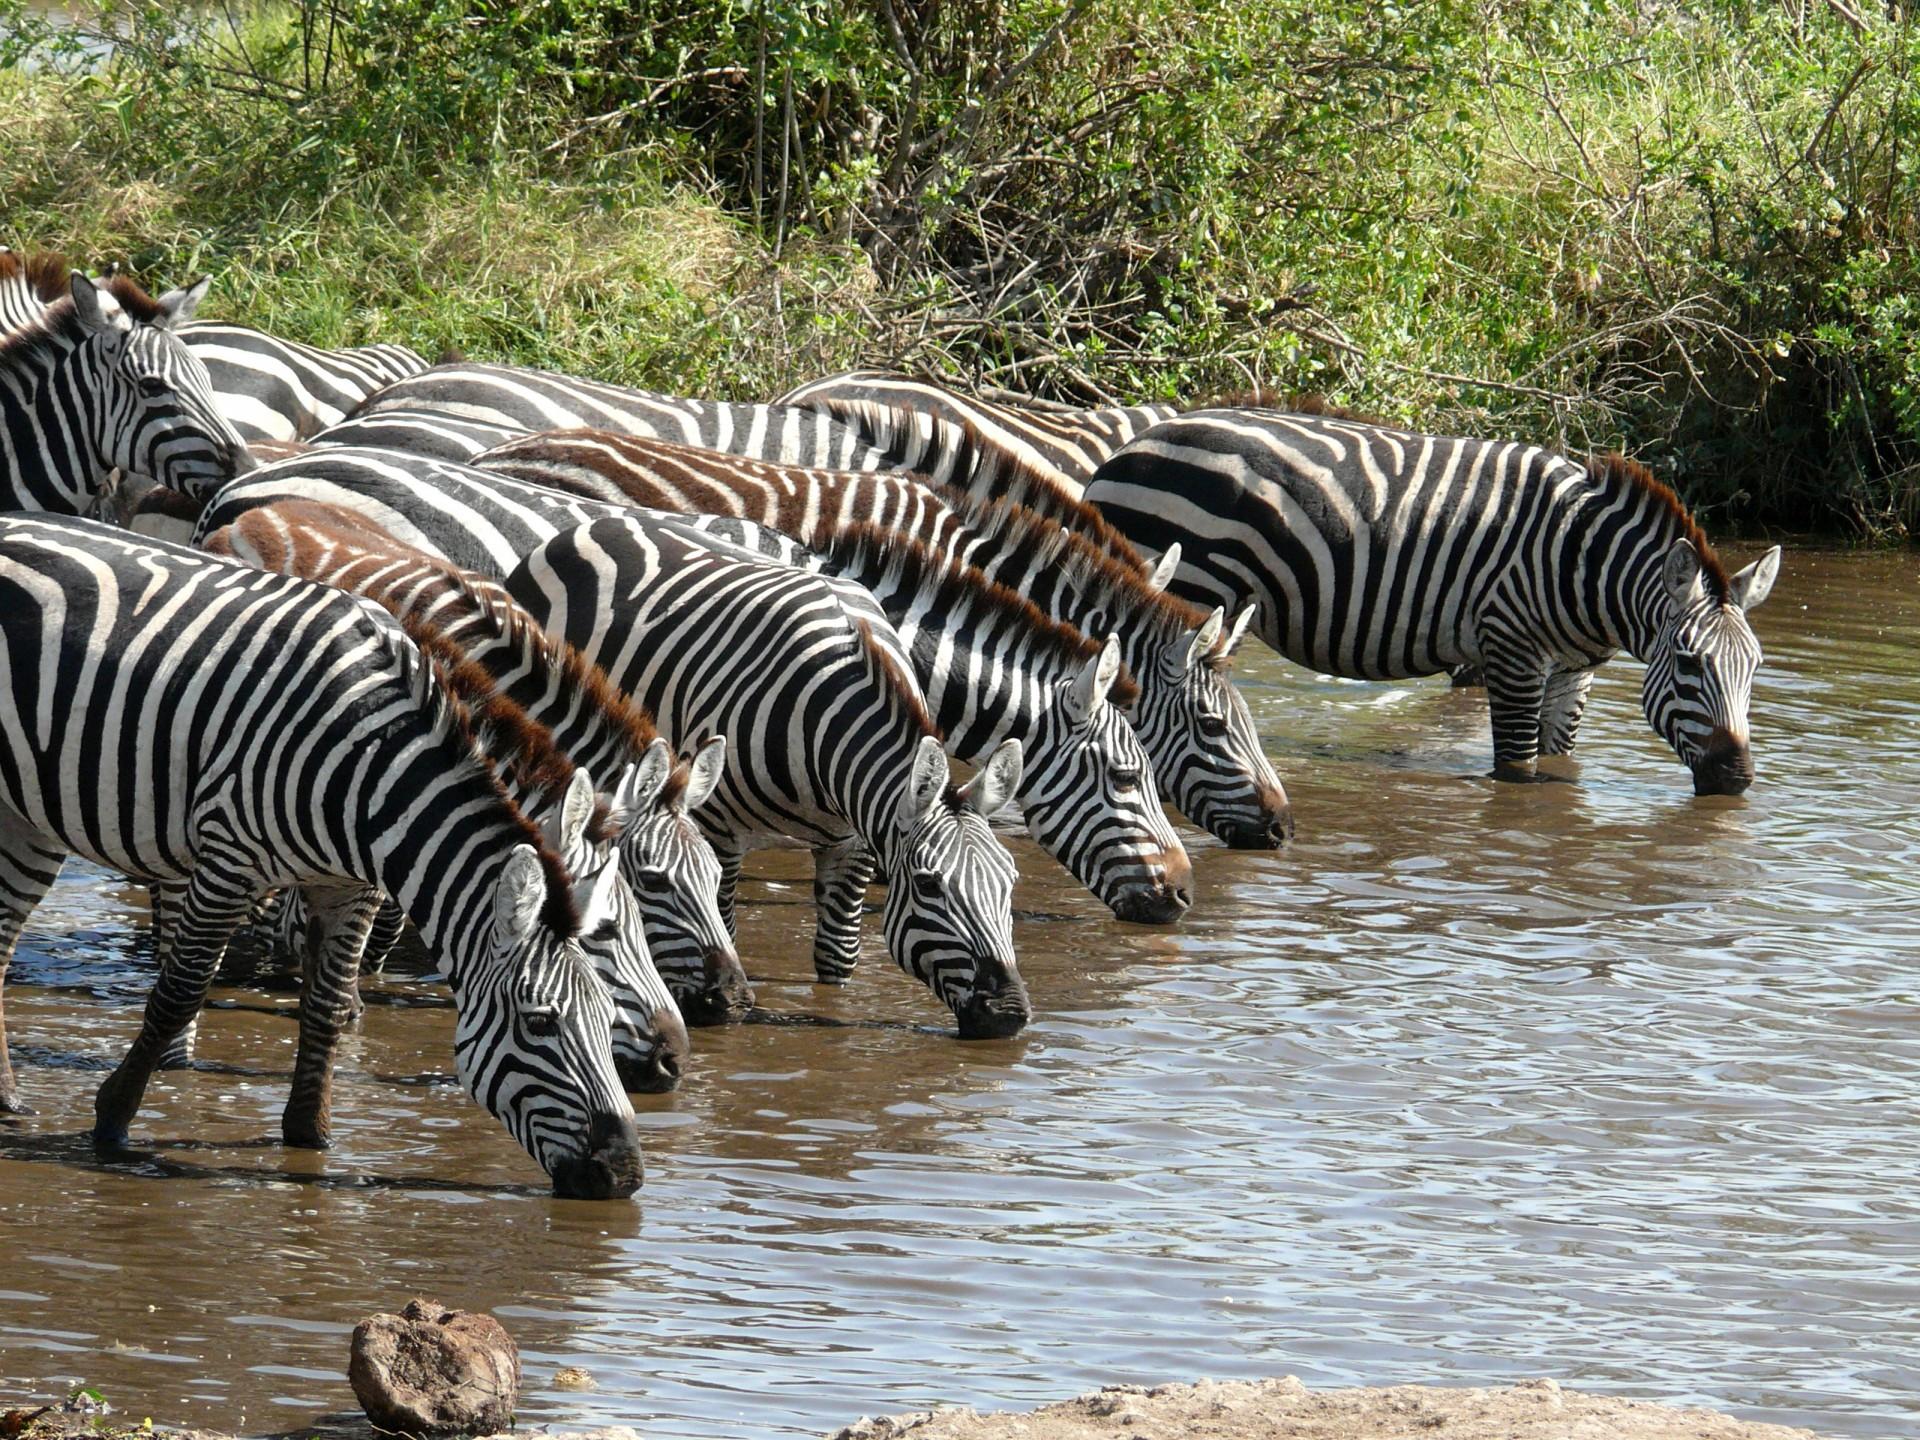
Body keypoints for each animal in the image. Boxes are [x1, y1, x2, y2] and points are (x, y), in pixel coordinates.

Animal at [0, 515, 643, 1197]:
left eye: (607, 1018)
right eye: (541, 1022)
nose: (625, 1174)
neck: (373, 770)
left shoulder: (350, 888)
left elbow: (328, 1007)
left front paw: (312, 1137)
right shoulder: (230, 859)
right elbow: (181, 990)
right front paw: (113, 1119)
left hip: (25, 816)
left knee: (2, 939)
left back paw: (7, 1100)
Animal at [1083, 409, 1782, 793]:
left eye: (1755, 669)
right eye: (1689, 663)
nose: (1738, 781)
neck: (1582, 564)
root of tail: (1127, 450)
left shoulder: (1574, 670)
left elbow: (1558, 760)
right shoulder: (1512, 649)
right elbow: (1517, 769)